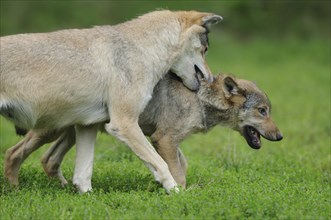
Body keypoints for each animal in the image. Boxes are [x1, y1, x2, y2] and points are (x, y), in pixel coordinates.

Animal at [0, 10, 223, 192]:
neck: (144, 49)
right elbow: (162, 165)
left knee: (20, 156)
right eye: (205, 50)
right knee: (14, 154)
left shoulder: (87, 126)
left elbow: (83, 176)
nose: (211, 79)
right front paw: (176, 192)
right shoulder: (124, 124)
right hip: (50, 130)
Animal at [3, 72, 282, 189]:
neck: (201, 100)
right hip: (49, 132)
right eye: (262, 111)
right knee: (12, 153)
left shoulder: (168, 141)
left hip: (73, 131)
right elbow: (177, 173)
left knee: (48, 160)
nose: (280, 136)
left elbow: (181, 165)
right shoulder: (164, 139)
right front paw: (180, 194)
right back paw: (15, 190)